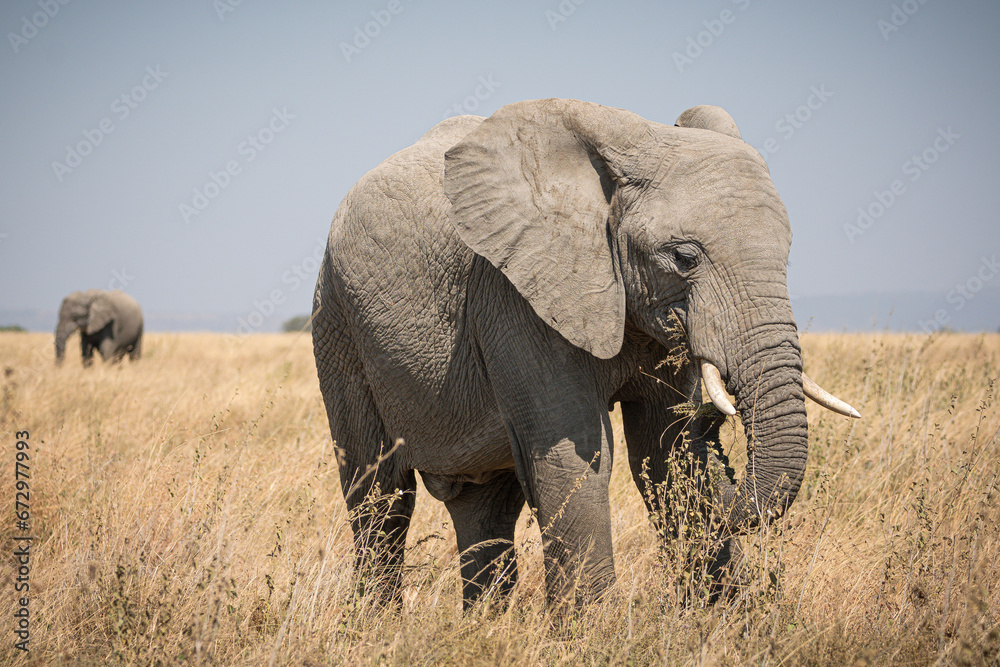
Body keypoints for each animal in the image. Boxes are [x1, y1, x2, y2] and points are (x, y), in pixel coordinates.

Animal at [312, 98, 860, 612]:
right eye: (684, 258)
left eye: (787, 253)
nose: (712, 416)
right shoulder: (515, 294)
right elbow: (578, 457)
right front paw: (593, 634)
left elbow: (664, 451)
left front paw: (724, 623)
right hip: (336, 322)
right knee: (380, 496)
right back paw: (376, 625)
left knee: (484, 504)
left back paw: (483, 628)